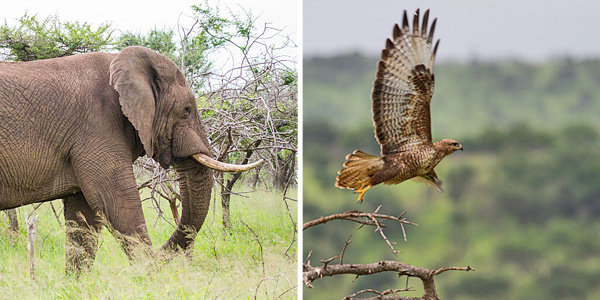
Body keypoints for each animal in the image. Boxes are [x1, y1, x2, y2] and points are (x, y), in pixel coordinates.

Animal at [0, 45, 262, 274]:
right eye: (187, 110)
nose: (162, 258)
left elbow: (83, 217)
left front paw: (74, 286)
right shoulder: (97, 126)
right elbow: (118, 203)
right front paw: (151, 278)